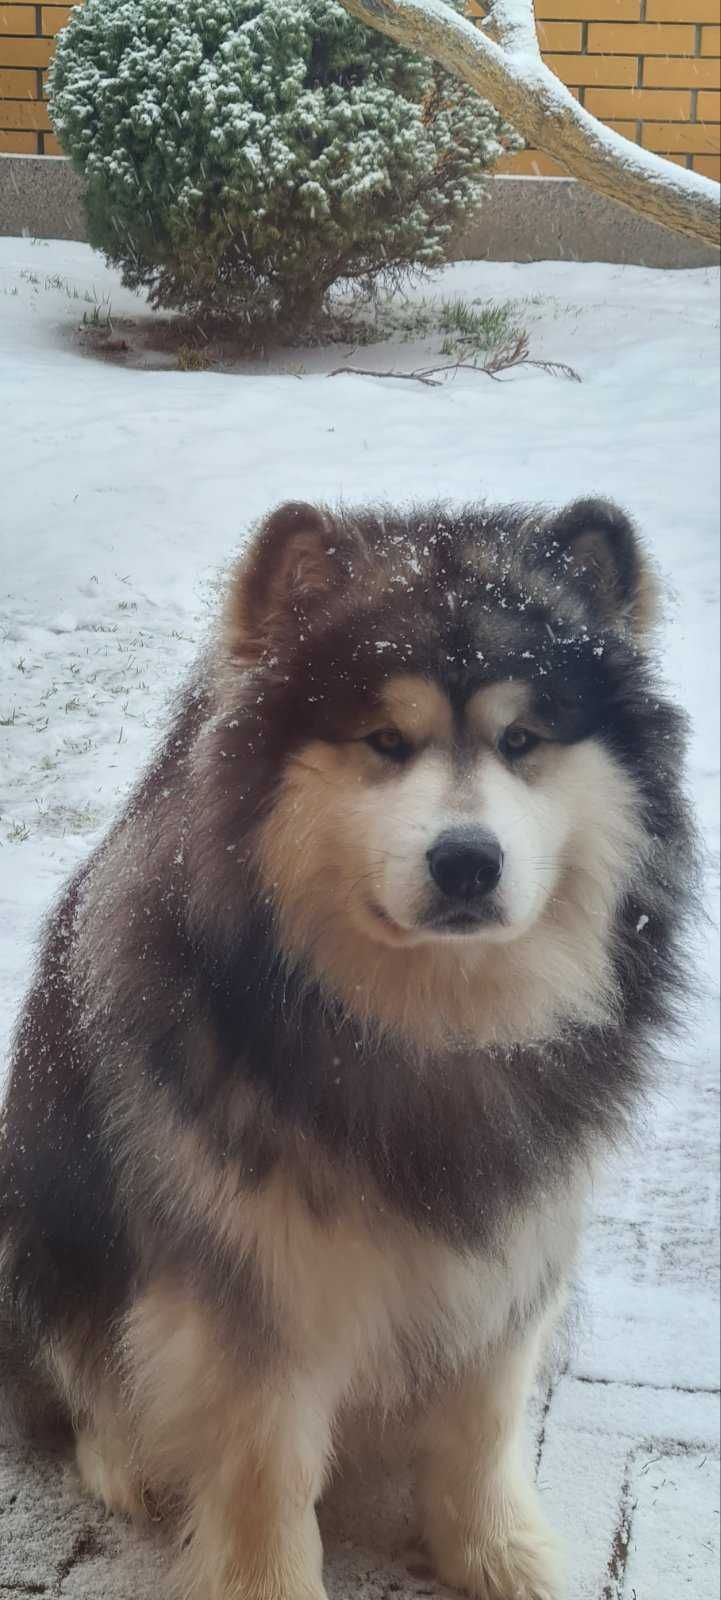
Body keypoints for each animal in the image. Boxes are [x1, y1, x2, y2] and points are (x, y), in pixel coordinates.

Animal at [1, 492, 700, 1593]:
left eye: (522, 737)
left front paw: (496, 1554)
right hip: (42, 1220)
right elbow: (262, 1478)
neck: (421, 1025)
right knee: (68, 1368)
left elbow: (481, 1424)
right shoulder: (253, 1294)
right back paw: (120, 1454)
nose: (466, 862)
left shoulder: (511, 1261)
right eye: (383, 738)